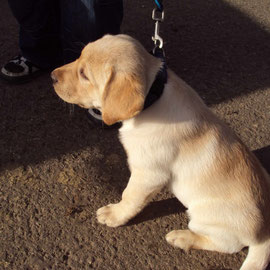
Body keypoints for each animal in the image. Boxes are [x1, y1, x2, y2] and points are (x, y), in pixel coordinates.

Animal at [52, 34, 270, 270]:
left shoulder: (148, 174)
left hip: (204, 217)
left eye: (84, 74)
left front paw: (115, 214)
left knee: (225, 245)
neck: (153, 97)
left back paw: (183, 237)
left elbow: (129, 196)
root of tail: (264, 234)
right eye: (79, 56)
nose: (52, 76)